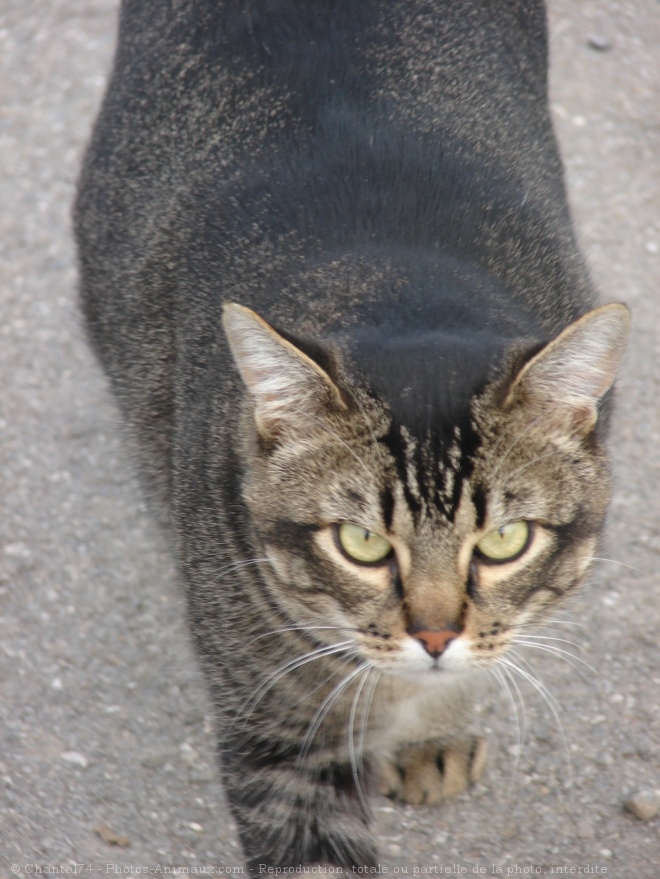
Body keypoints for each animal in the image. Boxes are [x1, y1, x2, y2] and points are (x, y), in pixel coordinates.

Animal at [75, 0, 632, 868]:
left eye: (505, 539)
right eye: (361, 543)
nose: (435, 635)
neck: (399, 286)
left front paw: (434, 723)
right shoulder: (280, 734)